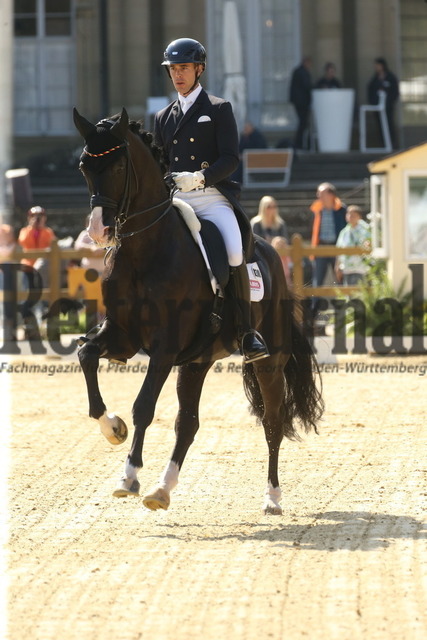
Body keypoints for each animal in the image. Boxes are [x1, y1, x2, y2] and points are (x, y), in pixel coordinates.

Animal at [72, 105, 324, 516]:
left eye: (120, 166)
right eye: (83, 166)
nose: (98, 231)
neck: (145, 251)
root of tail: (271, 252)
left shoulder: (164, 347)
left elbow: (144, 406)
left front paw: (129, 476)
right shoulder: (122, 337)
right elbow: (86, 355)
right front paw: (113, 428)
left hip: (269, 361)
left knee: (272, 421)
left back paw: (271, 497)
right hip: (196, 361)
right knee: (187, 423)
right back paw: (162, 490)